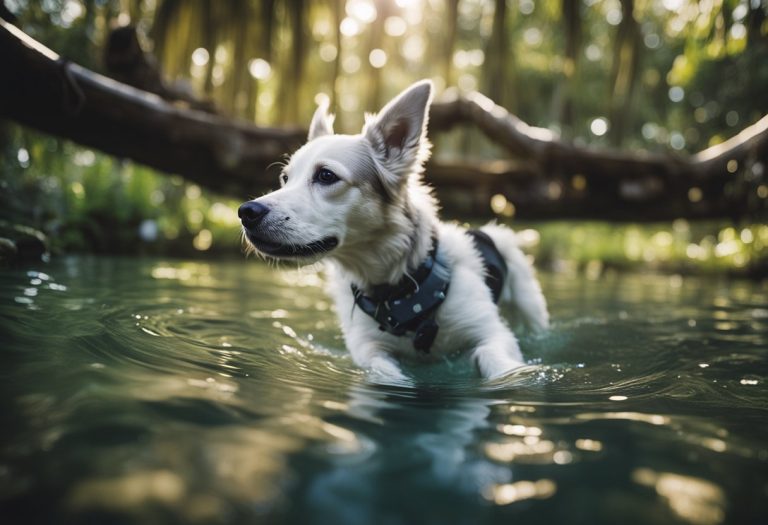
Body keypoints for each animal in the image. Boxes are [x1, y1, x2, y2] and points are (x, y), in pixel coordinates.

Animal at [238, 79, 544, 380]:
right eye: (285, 178)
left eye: (326, 175)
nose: (247, 212)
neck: (399, 293)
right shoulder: (367, 347)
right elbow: (384, 372)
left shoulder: (492, 332)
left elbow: (496, 360)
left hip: (531, 310)